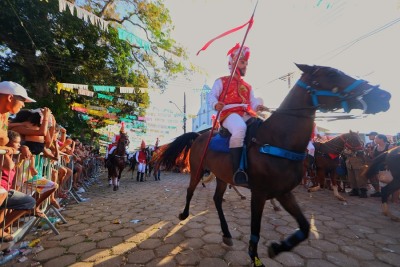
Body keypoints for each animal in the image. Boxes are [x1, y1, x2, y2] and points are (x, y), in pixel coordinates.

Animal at [156, 63, 390, 266]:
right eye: (332, 74)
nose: (383, 96)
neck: (277, 140)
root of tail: (199, 135)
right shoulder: (259, 193)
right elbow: (255, 230)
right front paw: (255, 257)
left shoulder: (284, 192)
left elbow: (305, 226)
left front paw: (278, 246)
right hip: (197, 170)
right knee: (190, 190)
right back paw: (184, 214)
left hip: (222, 176)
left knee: (217, 199)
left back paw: (227, 234)